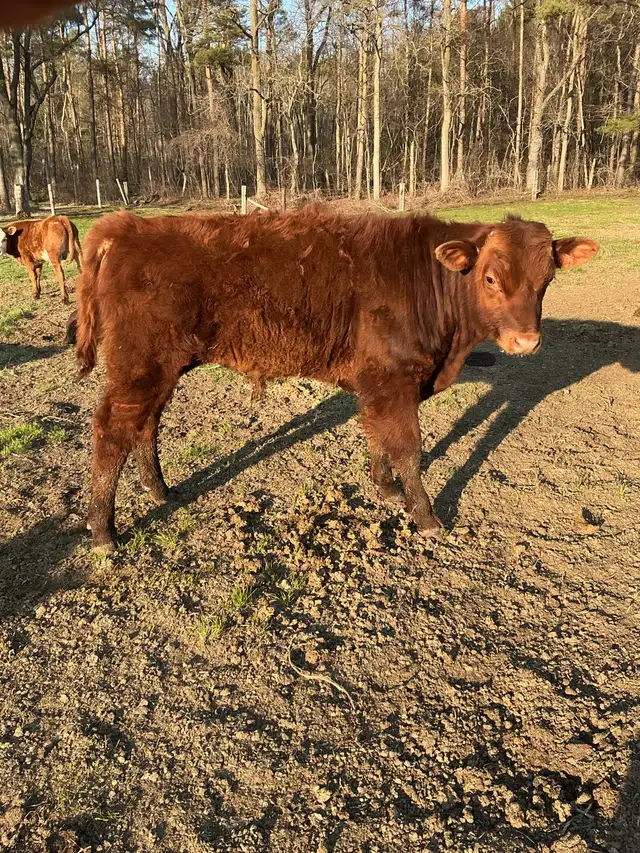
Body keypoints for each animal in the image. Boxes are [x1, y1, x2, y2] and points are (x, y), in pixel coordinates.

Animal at [75, 207, 598, 552]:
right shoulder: (393, 381)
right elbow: (408, 448)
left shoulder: (380, 384)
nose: (525, 342)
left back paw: (159, 489)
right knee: (111, 430)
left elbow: (378, 436)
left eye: (548, 278)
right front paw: (426, 516)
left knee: (145, 425)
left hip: (159, 369)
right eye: (490, 278)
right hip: (140, 366)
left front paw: (386, 488)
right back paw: (103, 532)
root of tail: (127, 225)